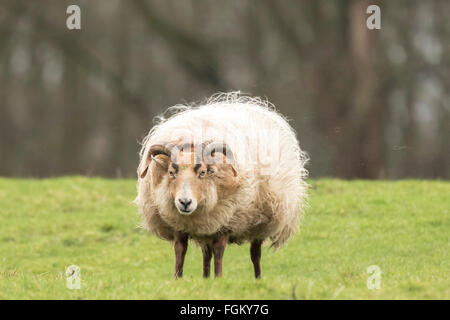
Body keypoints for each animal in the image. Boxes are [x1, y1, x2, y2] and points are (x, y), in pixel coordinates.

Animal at [135, 92, 308, 278]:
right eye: (171, 172)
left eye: (202, 172)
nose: (185, 202)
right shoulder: (179, 225)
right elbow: (180, 252)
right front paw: (177, 279)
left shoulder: (225, 220)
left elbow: (219, 252)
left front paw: (218, 278)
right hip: (209, 228)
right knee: (206, 254)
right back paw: (205, 278)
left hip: (261, 220)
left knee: (255, 253)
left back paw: (258, 278)